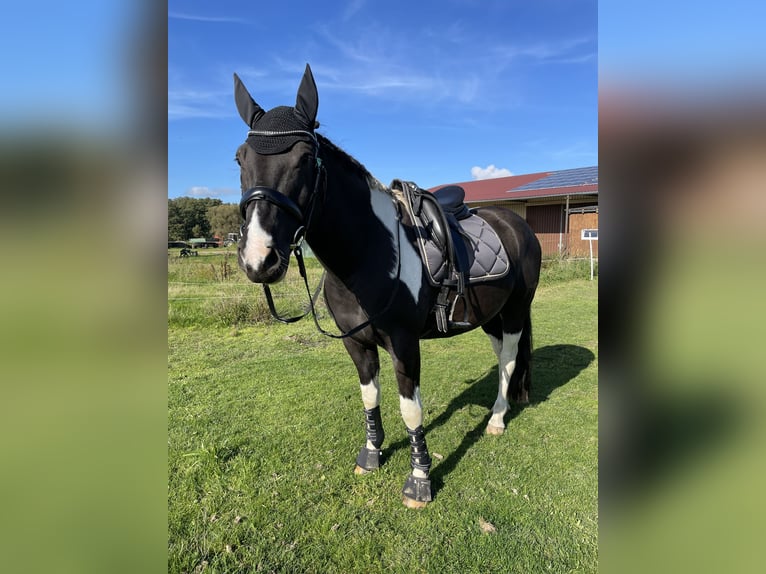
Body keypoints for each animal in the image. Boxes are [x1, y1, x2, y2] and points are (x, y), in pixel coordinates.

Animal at [233, 64, 541, 508]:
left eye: (306, 158)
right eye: (240, 158)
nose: (259, 259)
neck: (367, 255)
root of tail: (517, 224)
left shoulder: (404, 343)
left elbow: (410, 409)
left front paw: (419, 480)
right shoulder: (356, 342)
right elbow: (370, 397)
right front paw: (370, 455)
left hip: (516, 310)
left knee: (512, 358)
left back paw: (498, 419)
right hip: (490, 315)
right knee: (502, 355)